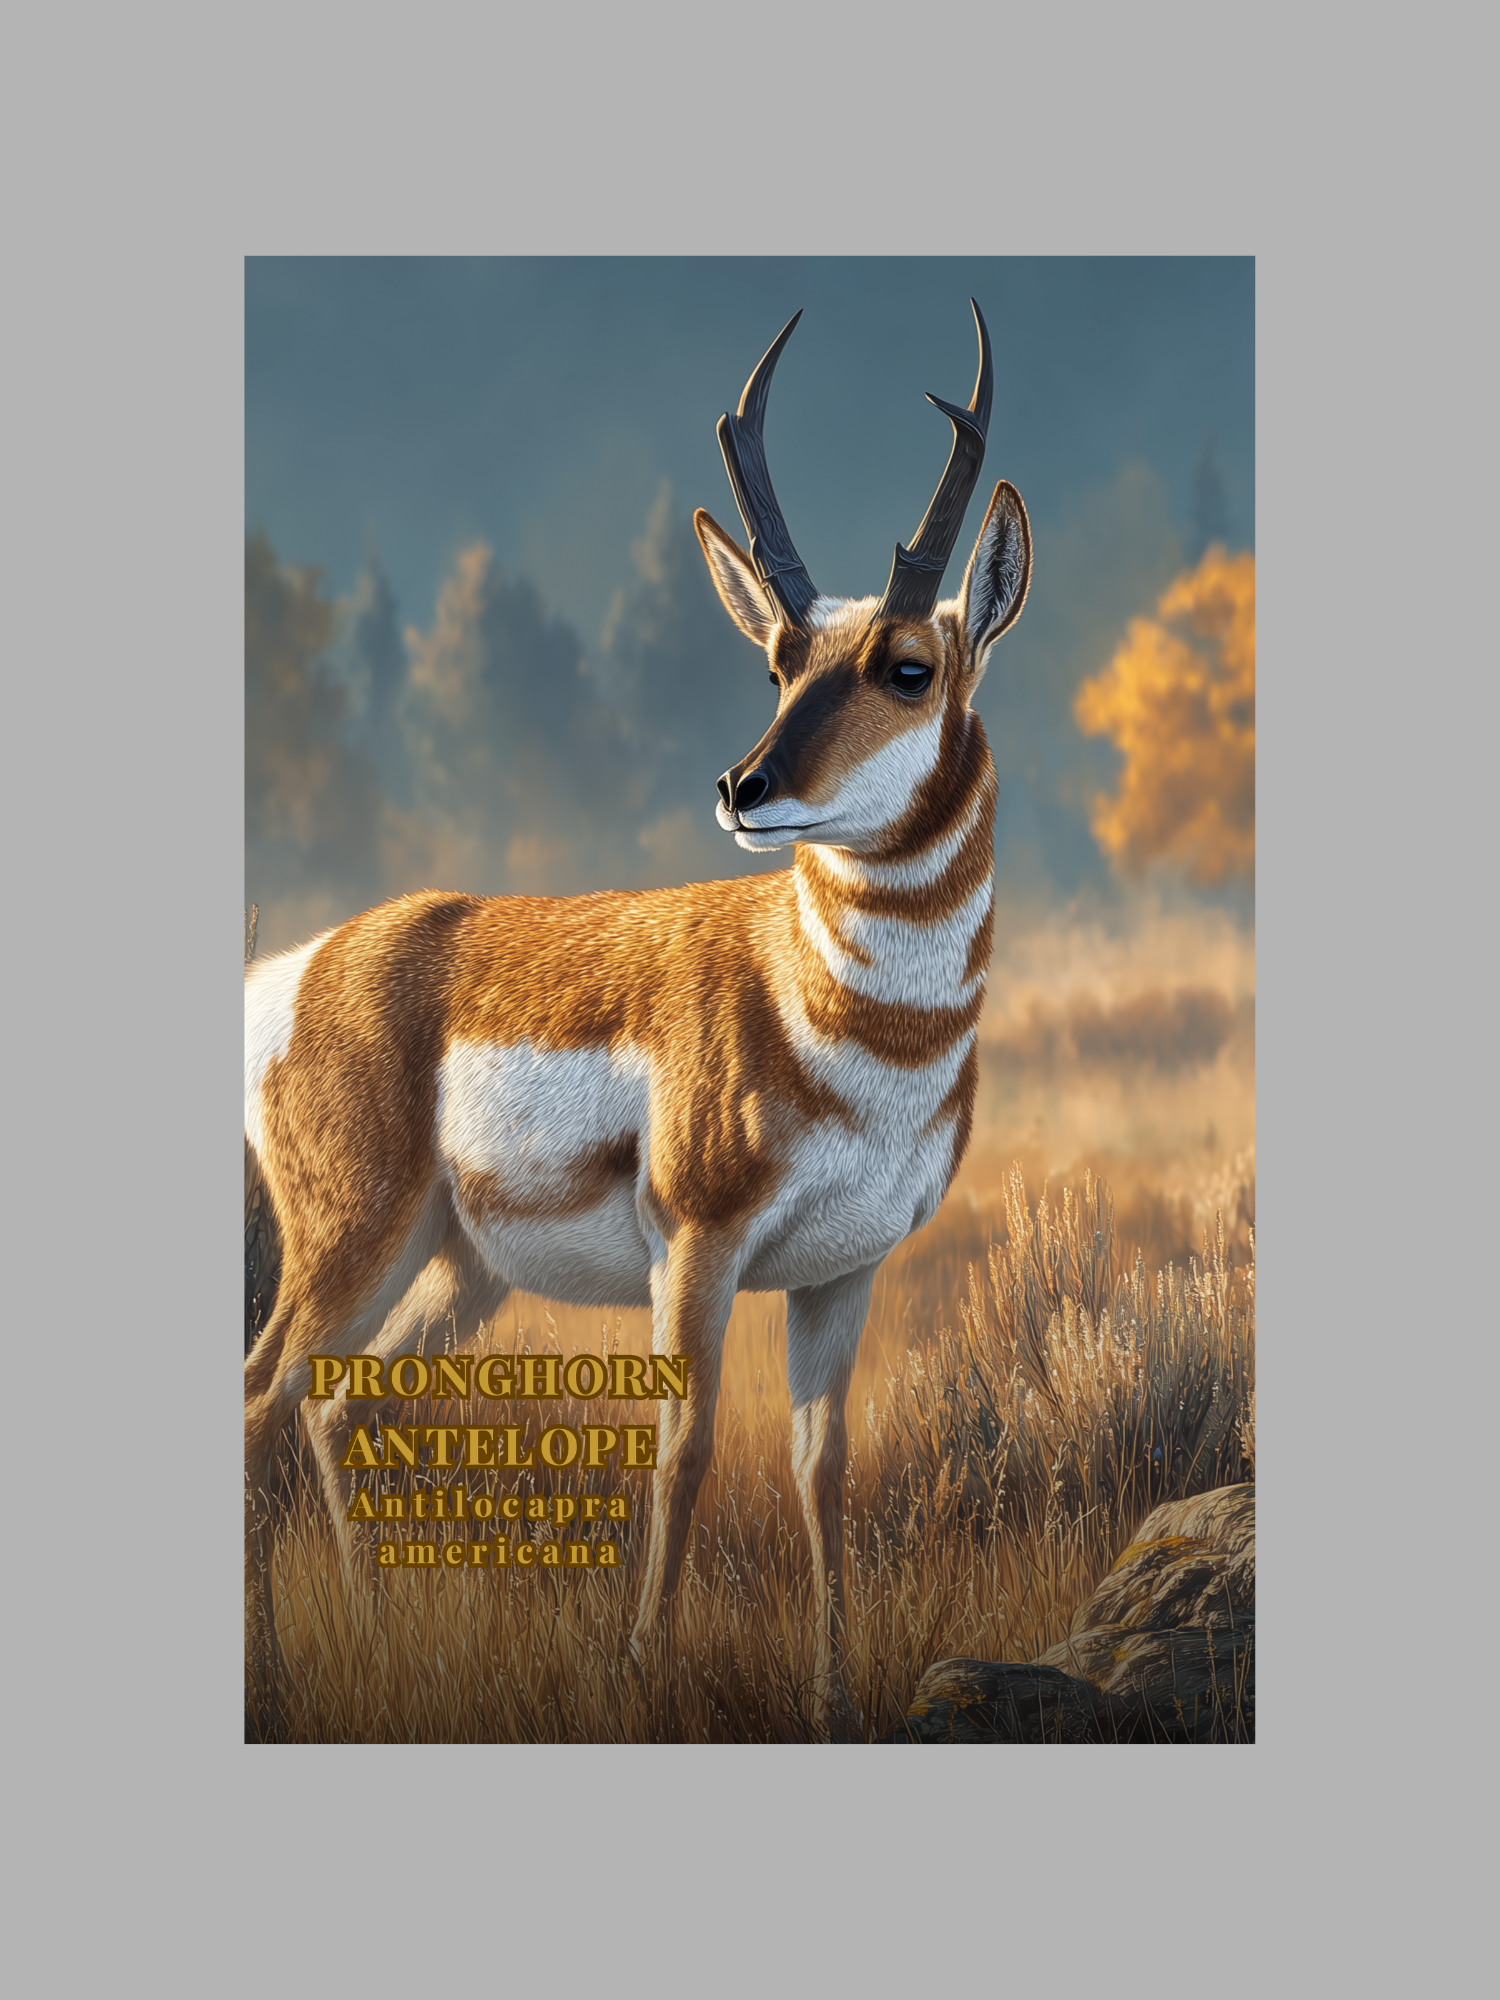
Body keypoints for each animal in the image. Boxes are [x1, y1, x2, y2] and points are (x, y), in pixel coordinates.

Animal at [244, 302, 1031, 1738]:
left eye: (907, 667)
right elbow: (687, 1446)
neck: (822, 1006)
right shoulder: (699, 1245)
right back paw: (274, 1679)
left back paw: (372, 1638)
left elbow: (821, 1466)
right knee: (265, 1398)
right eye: (777, 661)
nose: (744, 785)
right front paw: (645, 1673)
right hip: (355, 1236)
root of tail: (303, 967)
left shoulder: (844, 1271)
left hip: (455, 1265)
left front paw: (836, 1696)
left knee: (340, 1405)